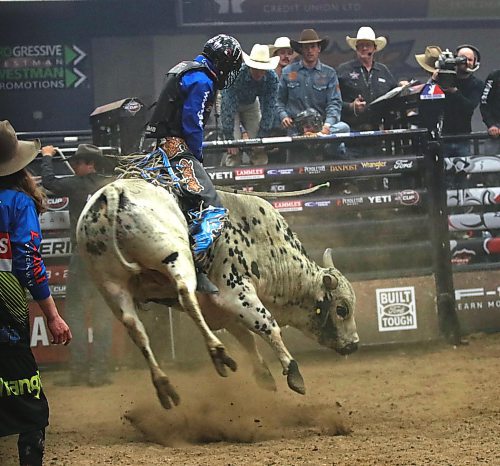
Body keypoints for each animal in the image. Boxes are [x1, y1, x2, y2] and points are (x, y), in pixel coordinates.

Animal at [77, 178, 360, 408]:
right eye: (342, 309)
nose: (354, 344)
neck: (268, 246)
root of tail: (115, 191)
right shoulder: (235, 291)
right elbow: (267, 326)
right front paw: (292, 372)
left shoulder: (219, 309)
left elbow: (246, 336)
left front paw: (264, 375)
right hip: (175, 256)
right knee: (184, 293)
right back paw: (217, 352)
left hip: (111, 284)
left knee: (134, 326)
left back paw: (164, 385)